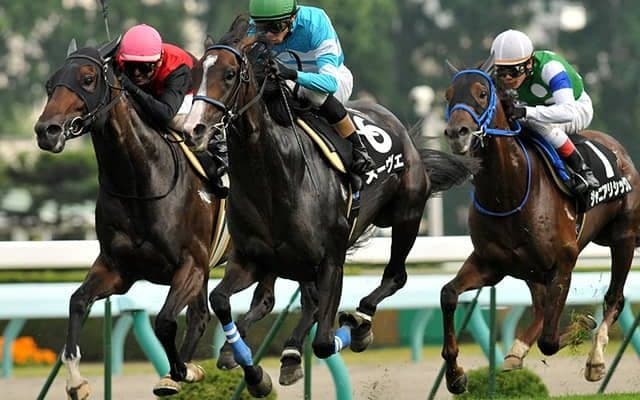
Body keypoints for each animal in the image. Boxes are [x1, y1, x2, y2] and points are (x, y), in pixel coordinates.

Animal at [33, 40, 232, 398]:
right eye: (49, 84)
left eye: (88, 79)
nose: (47, 131)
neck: (140, 181)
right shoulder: (117, 269)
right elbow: (77, 301)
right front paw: (76, 380)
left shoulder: (191, 264)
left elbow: (165, 320)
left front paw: (181, 371)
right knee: (200, 316)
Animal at [182, 16, 480, 397]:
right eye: (195, 75)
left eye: (231, 74)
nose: (195, 129)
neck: (275, 176)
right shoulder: (251, 259)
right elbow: (221, 301)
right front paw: (252, 371)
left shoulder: (330, 260)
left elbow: (324, 342)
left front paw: (354, 329)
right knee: (301, 301)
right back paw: (287, 353)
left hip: (406, 216)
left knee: (394, 276)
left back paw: (359, 320)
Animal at [441, 60, 640, 394]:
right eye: (448, 95)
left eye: (482, 93)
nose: (458, 133)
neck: (508, 192)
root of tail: (620, 153)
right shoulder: (489, 264)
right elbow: (448, 294)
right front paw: (455, 375)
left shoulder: (563, 263)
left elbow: (550, 340)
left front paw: (584, 326)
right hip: (531, 267)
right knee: (539, 306)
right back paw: (515, 353)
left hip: (623, 237)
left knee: (614, 298)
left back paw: (595, 358)